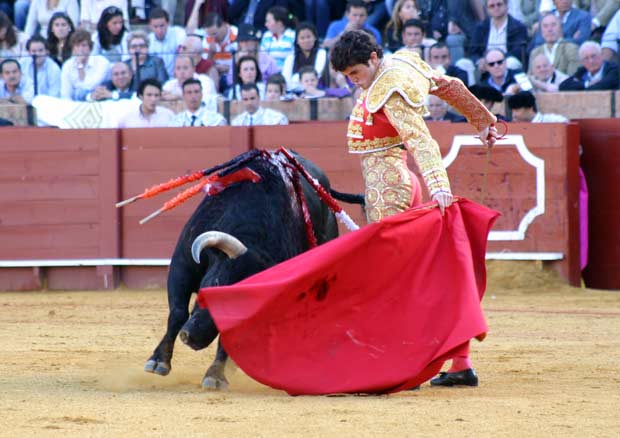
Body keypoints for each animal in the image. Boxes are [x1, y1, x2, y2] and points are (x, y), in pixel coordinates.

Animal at [143, 151, 360, 390]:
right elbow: (178, 312)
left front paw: (216, 375)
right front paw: (158, 361)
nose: (190, 336)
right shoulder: (183, 264)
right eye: (213, 286)